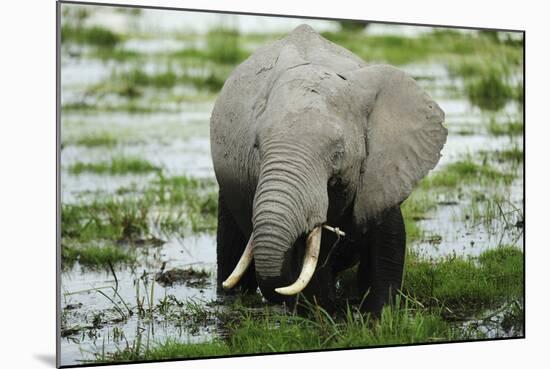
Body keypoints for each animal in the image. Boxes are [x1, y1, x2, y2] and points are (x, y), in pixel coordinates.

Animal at [211, 23, 448, 314]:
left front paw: (380, 315)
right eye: (256, 147)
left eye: (338, 153)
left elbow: (389, 243)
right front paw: (325, 314)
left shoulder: (381, 173)